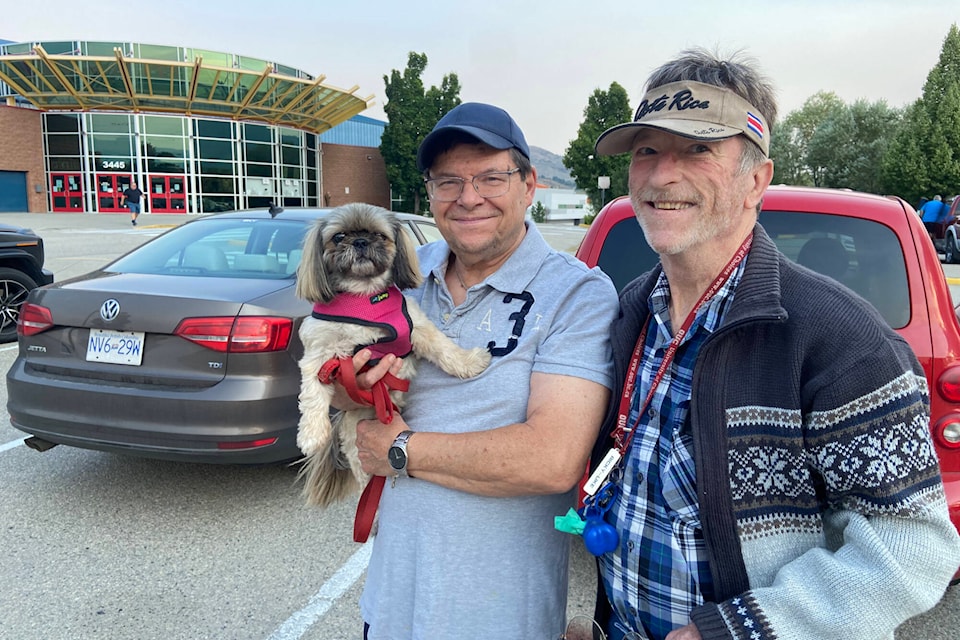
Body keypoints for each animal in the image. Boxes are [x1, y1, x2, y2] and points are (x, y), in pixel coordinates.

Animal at [296, 202, 492, 508]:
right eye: (338, 237)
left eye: (379, 235)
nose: (360, 242)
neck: (364, 298)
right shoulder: (320, 353)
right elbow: (313, 394)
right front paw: (312, 433)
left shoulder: (415, 327)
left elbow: (444, 348)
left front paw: (469, 362)